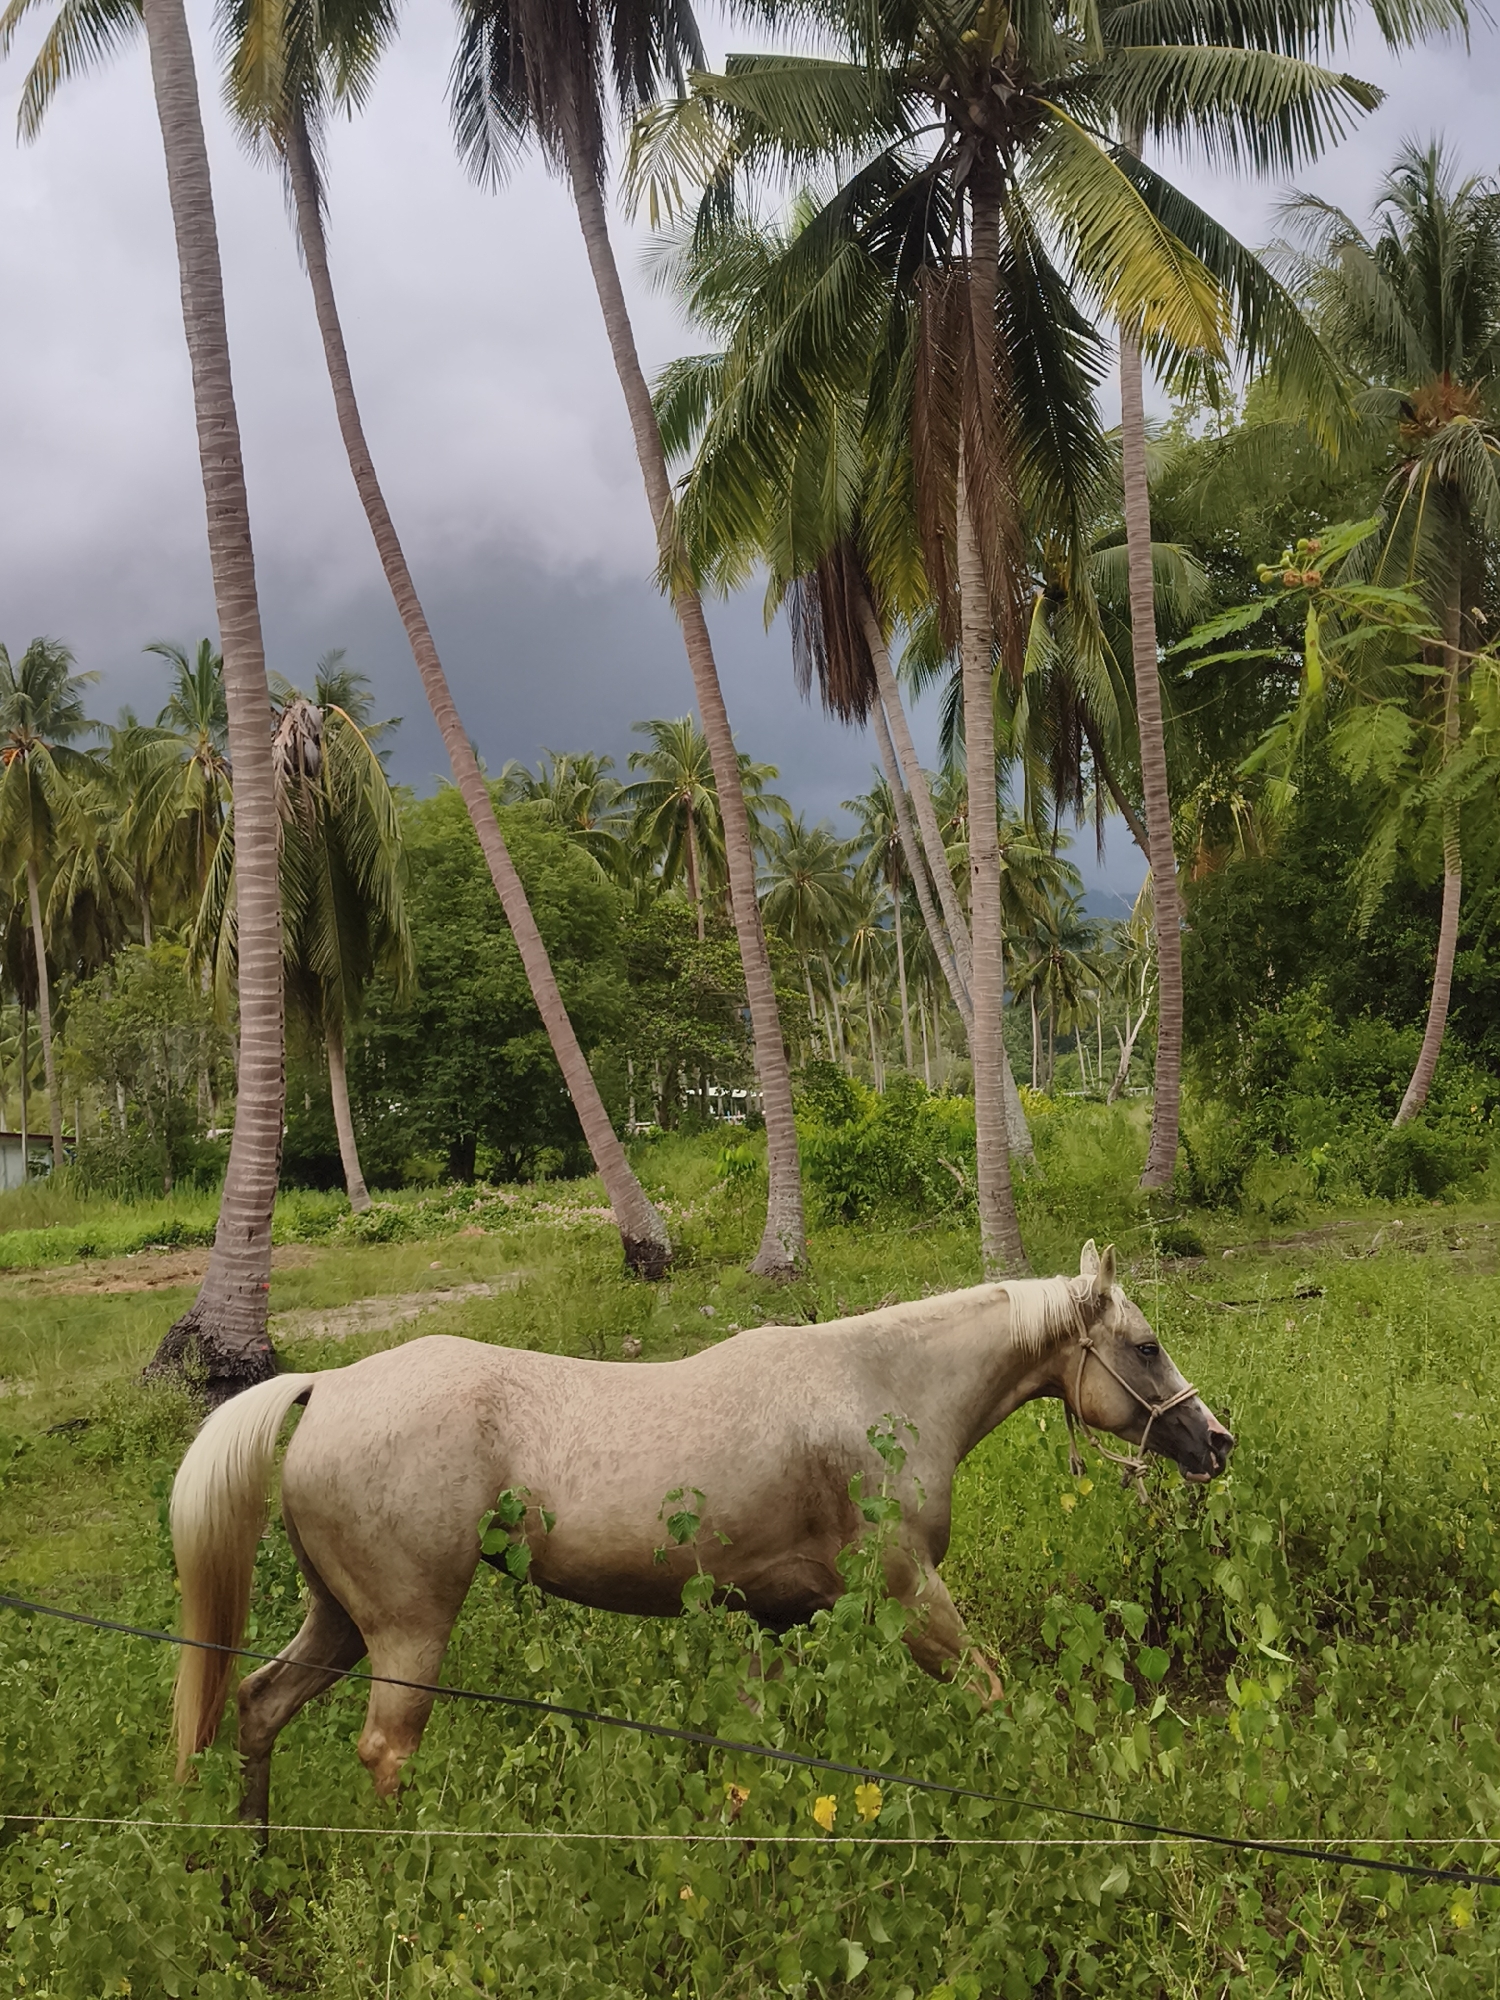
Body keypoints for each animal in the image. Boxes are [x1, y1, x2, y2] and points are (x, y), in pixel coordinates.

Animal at [169, 1241, 1233, 1824]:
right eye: (1146, 1347)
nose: (1215, 1441)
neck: (875, 1392)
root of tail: (326, 1387)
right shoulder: (909, 1596)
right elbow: (992, 1692)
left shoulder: (774, 1619)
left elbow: (764, 1752)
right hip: (407, 1631)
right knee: (384, 1755)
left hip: (339, 1620)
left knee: (258, 1707)